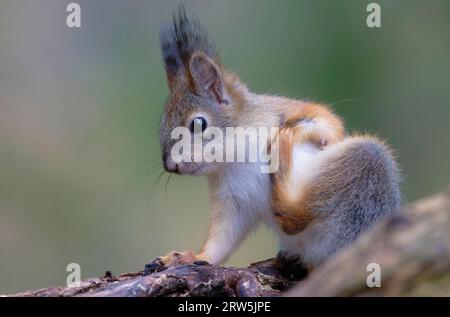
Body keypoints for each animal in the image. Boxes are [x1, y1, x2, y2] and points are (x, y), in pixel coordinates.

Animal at [153, 5, 400, 272]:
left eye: (198, 124)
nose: (170, 166)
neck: (235, 160)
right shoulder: (233, 203)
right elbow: (221, 241)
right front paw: (192, 257)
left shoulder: (282, 110)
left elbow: (326, 119)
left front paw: (323, 135)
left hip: (363, 165)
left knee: (297, 214)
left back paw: (284, 144)